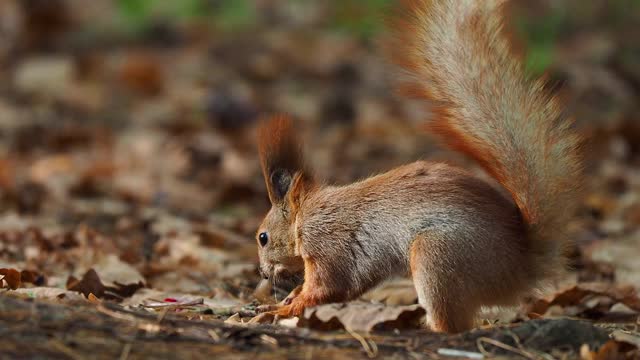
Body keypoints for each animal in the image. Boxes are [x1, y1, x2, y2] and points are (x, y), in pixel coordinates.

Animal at [254, 0, 580, 334]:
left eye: (263, 237)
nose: (264, 275)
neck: (304, 215)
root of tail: (521, 266)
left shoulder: (327, 243)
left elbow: (326, 287)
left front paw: (279, 309)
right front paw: (287, 298)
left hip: (437, 256)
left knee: (450, 324)